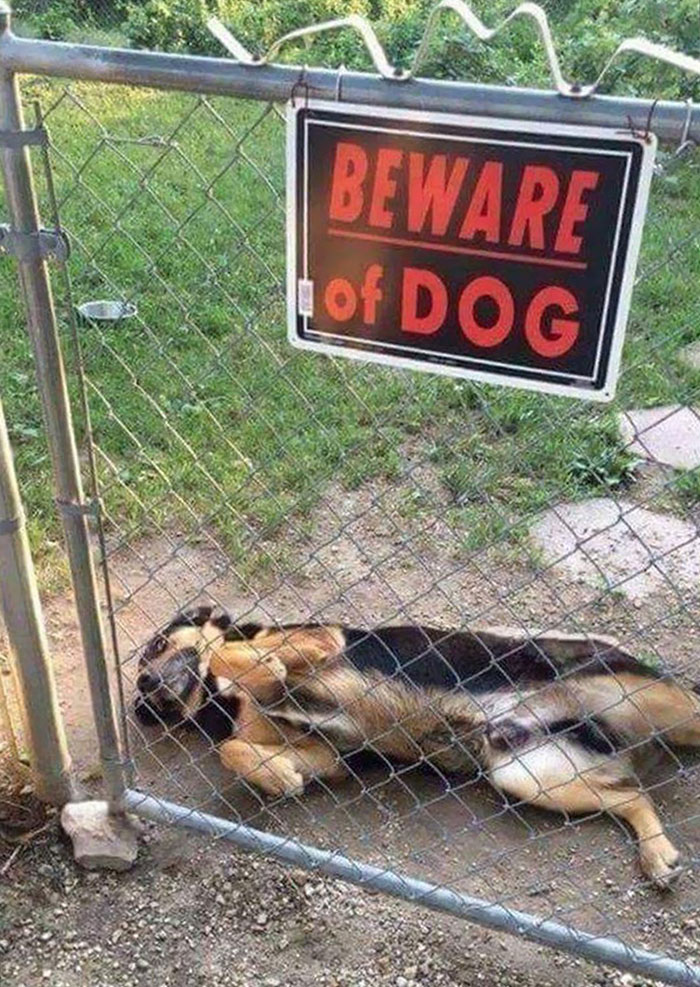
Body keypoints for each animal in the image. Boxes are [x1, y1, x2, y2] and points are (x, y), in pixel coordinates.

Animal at [134, 604, 700, 892]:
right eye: (142, 666)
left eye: (158, 645)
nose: (145, 686)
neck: (222, 698)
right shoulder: (328, 755)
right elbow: (236, 749)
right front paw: (276, 777)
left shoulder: (321, 641)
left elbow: (229, 652)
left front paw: (252, 663)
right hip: (527, 773)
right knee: (633, 795)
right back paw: (657, 855)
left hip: (650, 699)